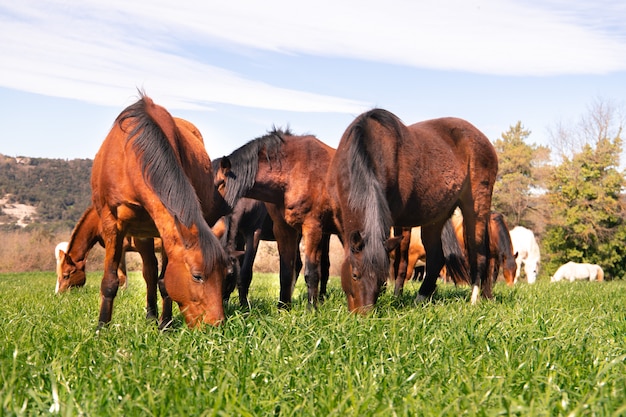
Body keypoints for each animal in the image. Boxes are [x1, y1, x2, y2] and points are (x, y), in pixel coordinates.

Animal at [90, 95, 229, 328]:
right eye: (197, 276)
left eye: (225, 274)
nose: (215, 325)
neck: (131, 157)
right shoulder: (112, 224)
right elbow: (110, 281)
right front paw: (102, 327)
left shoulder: (166, 231)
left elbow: (164, 282)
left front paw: (166, 324)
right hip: (141, 235)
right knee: (149, 272)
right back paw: (150, 315)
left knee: (152, 273)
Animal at [214, 128, 334, 308]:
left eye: (228, 276)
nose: (220, 304)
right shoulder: (239, 236)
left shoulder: (253, 233)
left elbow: (245, 272)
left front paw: (244, 307)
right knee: (297, 265)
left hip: (323, 235)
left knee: (324, 264)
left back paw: (321, 298)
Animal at [326, 109, 498, 312]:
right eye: (354, 274)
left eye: (380, 278)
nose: (364, 314)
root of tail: (483, 139)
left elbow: (400, 262)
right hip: (436, 219)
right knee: (436, 258)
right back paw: (422, 298)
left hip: (476, 207)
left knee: (479, 252)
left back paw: (474, 298)